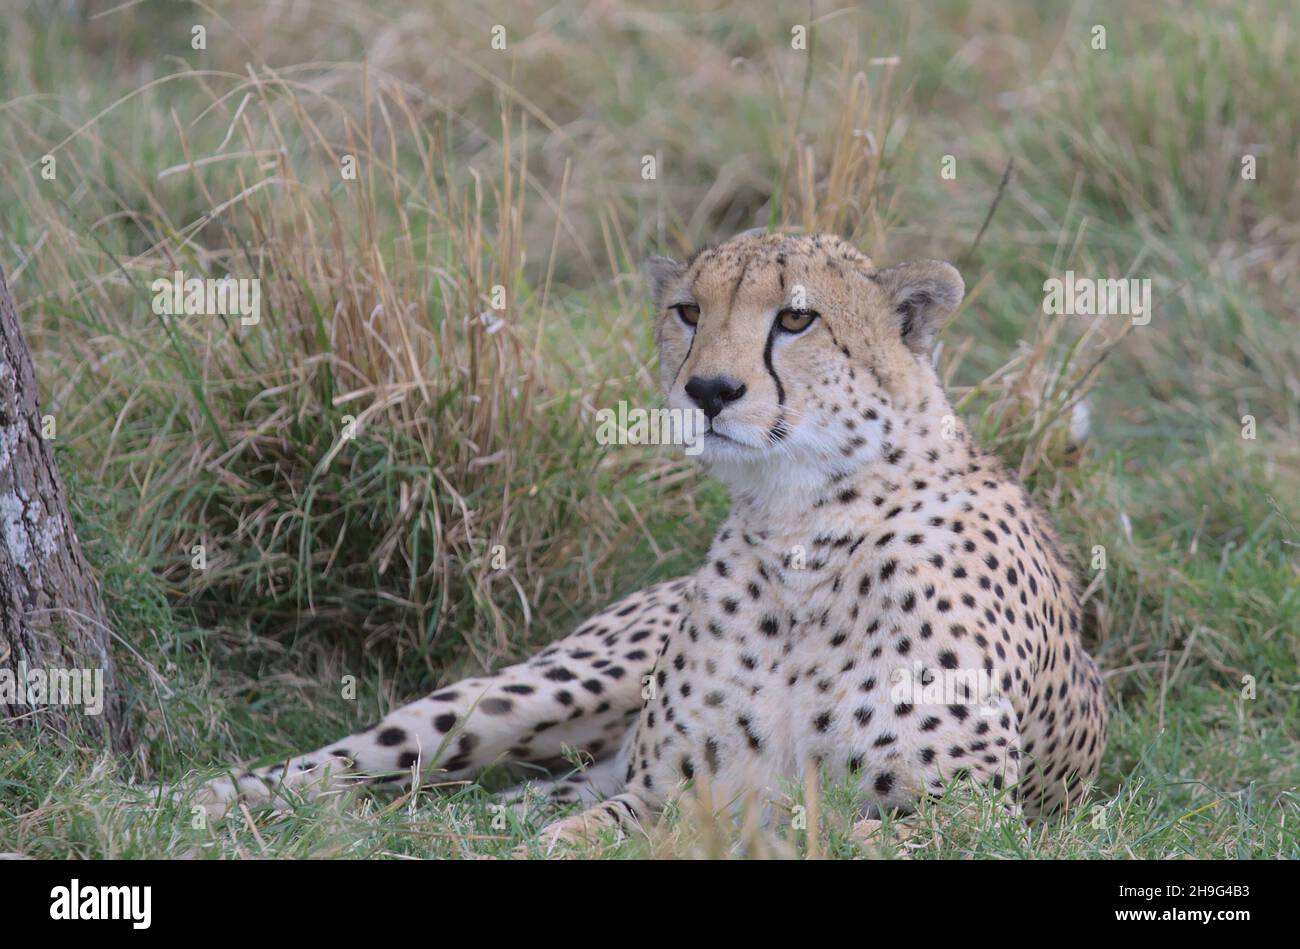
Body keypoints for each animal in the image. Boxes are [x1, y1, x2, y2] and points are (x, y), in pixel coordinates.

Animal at [180, 232, 1107, 847]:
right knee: (359, 758)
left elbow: (852, 834)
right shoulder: (664, 792)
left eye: (797, 320)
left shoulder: (965, 815)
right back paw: (200, 799)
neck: (800, 527)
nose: (710, 388)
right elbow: (596, 832)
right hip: (541, 691)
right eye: (688, 311)